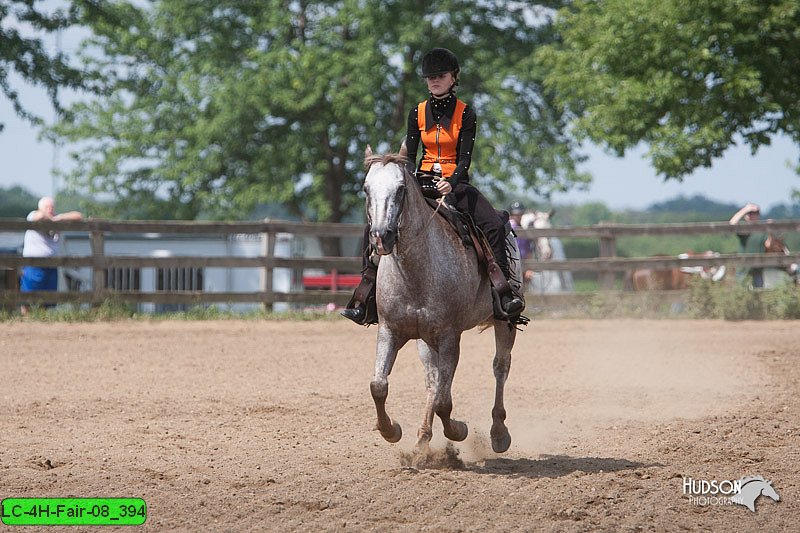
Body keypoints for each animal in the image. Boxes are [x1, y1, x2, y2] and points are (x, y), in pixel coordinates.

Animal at [362, 145, 520, 454]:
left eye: (400, 189)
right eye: (366, 189)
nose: (381, 237)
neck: (415, 272)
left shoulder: (449, 337)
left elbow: (444, 401)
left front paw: (459, 430)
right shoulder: (389, 331)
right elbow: (379, 386)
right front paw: (391, 430)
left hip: (504, 320)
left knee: (500, 366)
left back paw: (498, 434)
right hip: (424, 340)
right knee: (432, 381)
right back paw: (422, 439)